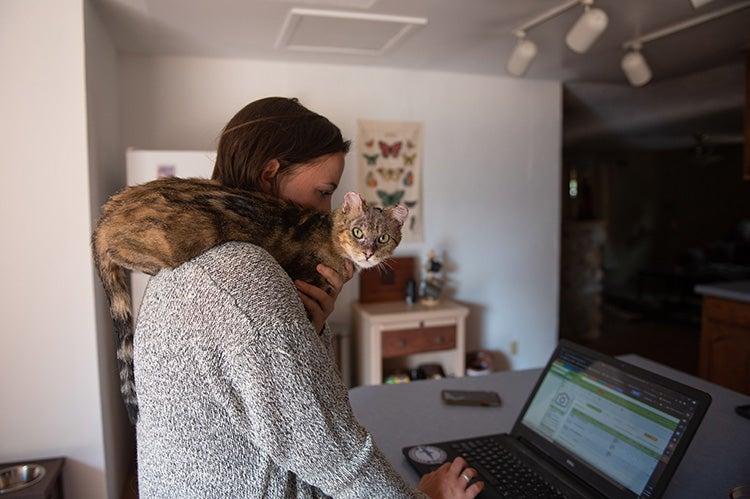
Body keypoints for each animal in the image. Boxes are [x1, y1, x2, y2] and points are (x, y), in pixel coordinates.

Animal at [95, 178, 412, 424]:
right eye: (358, 232)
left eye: (383, 238)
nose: (368, 253)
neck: (329, 234)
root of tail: (106, 214)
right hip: (188, 234)